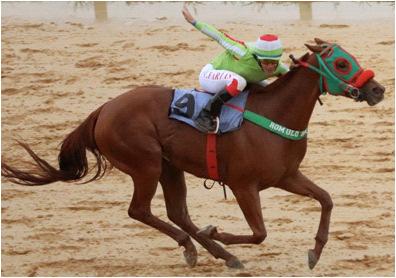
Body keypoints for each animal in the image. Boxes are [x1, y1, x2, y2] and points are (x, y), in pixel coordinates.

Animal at [2, 39, 384, 270]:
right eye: (342, 63)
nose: (377, 89)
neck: (275, 113)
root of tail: (103, 110)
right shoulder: (244, 185)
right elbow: (259, 233)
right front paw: (217, 231)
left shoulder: (286, 176)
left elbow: (326, 199)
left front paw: (315, 252)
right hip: (146, 164)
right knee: (140, 211)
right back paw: (198, 244)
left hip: (170, 166)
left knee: (177, 212)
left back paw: (216, 251)